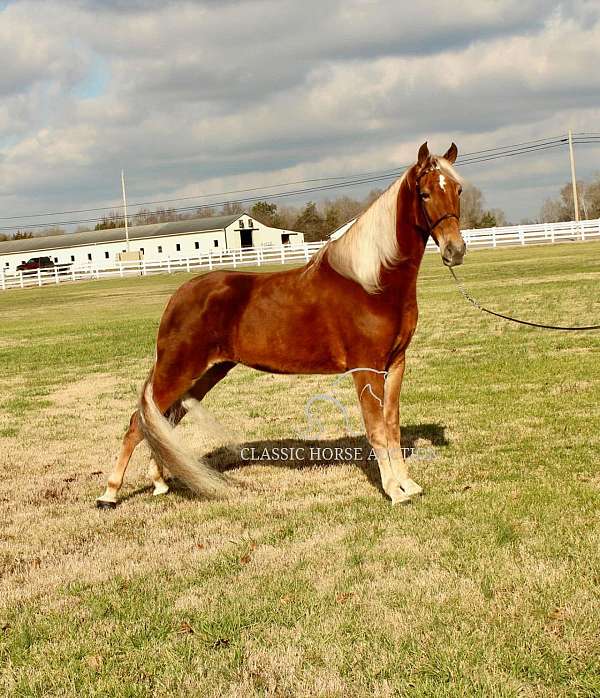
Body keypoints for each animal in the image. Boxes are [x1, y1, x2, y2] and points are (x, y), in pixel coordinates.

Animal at [97, 141, 464, 508]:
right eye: (425, 193)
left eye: (458, 190)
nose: (455, 250)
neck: (373, 282)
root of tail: (179, 296)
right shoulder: (367, 369)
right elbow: (376, 429)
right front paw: (393, 490)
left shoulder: (396, 363)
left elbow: (392, 424)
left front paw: (408, 485)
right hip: (176, 372)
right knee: (138, 423)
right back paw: (109, 493)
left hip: (205, 374)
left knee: (161, 422)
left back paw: (159, 482)